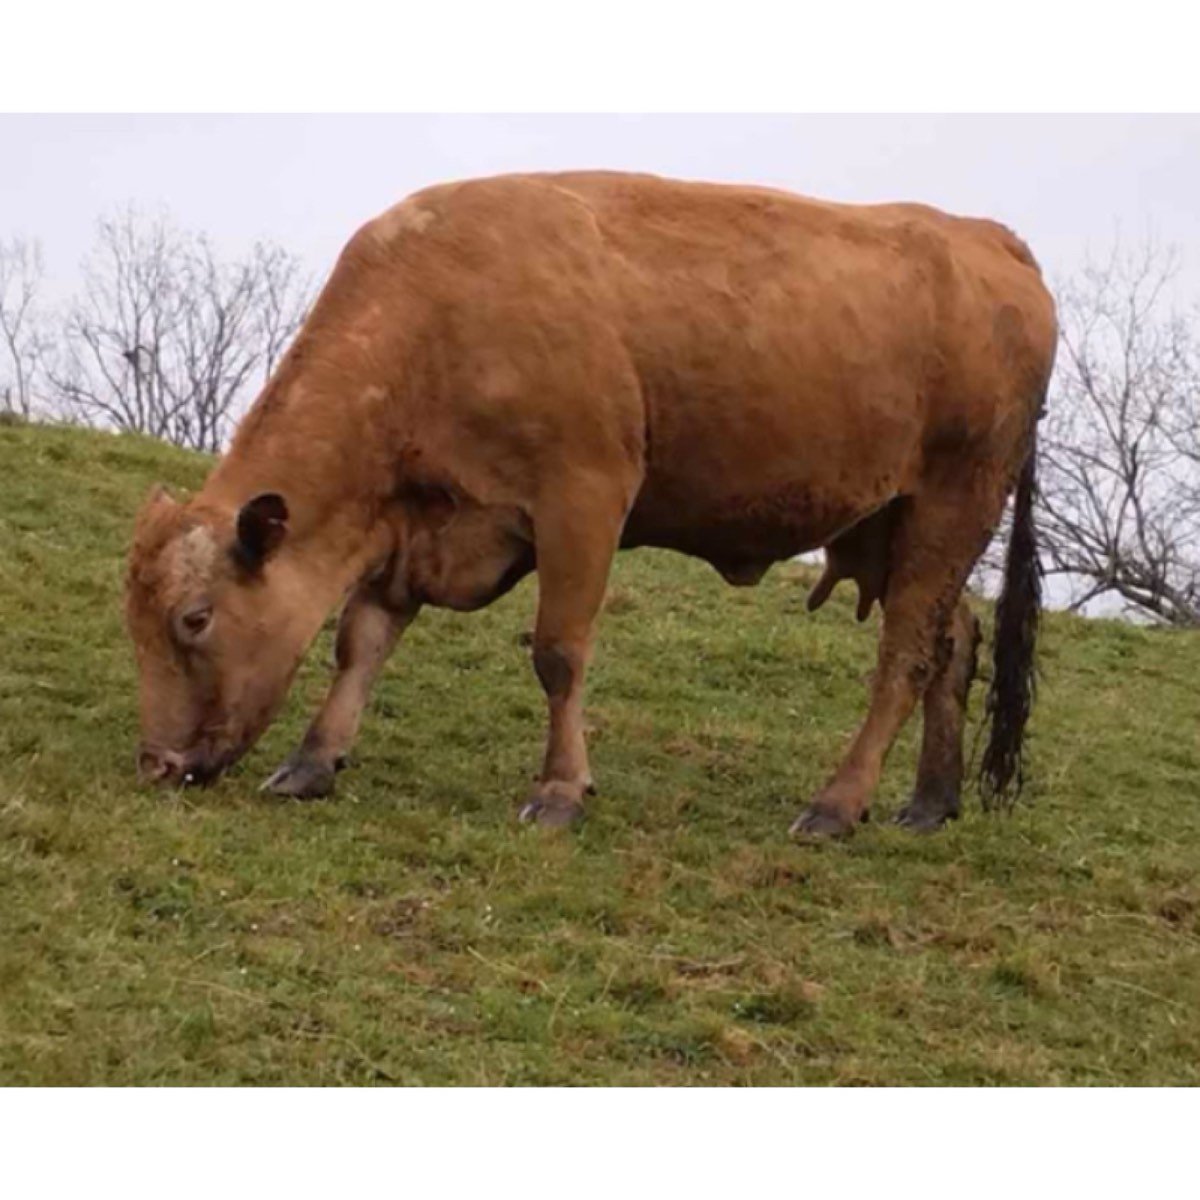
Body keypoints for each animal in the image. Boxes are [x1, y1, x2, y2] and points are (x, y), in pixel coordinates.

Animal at [125, 171, 1057, 837]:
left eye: (195, 618)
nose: (157, 763)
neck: (436, 317)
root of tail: (986, 237)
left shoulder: (583, 499)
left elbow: (558, 653)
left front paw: (561, 790)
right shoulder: (414, 521)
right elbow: (361, 641)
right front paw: (313, 762)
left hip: (952, 506)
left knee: (905, 658)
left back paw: (836, 805)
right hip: (895, 526)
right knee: (951, 642)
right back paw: (929, 803)